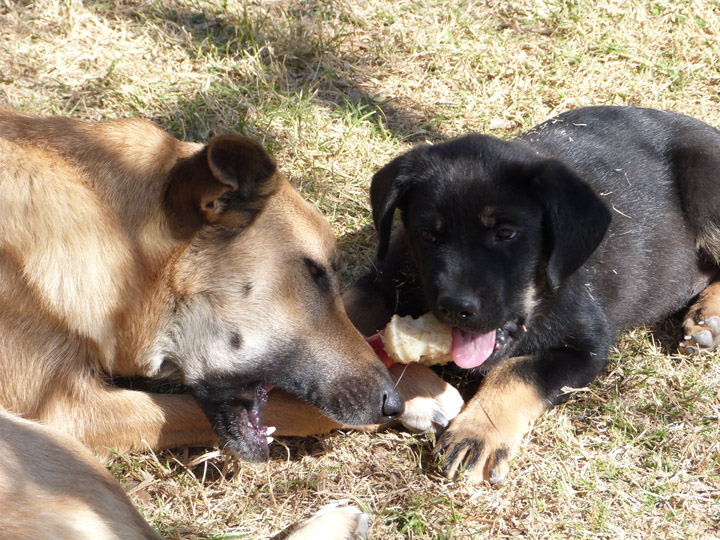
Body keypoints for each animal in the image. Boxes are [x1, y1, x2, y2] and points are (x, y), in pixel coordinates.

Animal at [342, 104, 720, 480]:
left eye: (506, 234)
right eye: (427, 236)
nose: (455, 307)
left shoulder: (586, 346)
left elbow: (515, 372)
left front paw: (477, 432)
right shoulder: (375, 285)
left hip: (707, 190)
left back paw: (708, 318)